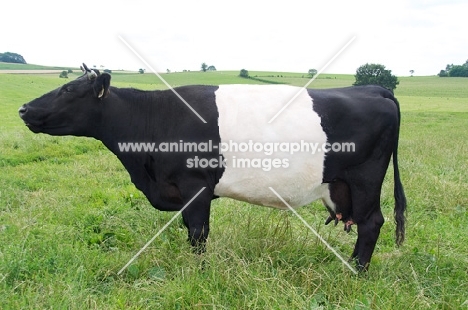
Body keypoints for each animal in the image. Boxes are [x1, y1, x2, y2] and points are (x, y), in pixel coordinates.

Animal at [18, 63, 406, 272]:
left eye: (69, 91)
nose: (23, 108)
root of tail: (374, 89)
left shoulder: (195, 186)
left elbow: (197, 233)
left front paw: (198, 270)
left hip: (365, 179)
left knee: (372, 223)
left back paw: (355, 271)